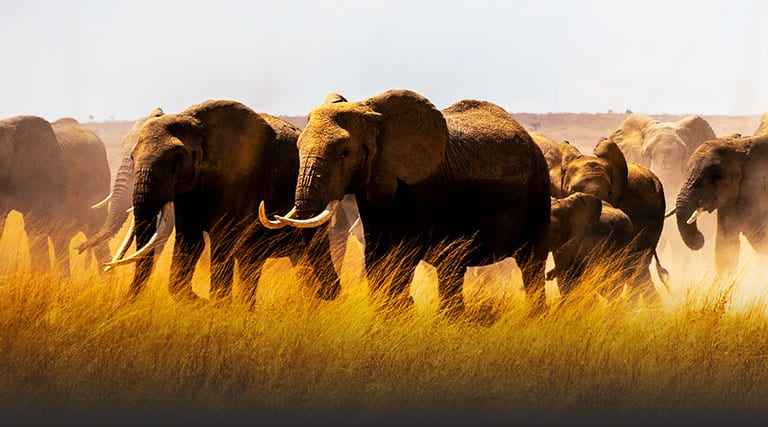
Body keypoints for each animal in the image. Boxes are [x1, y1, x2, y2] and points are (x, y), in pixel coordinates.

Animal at [105, 100, 326, 302]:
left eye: (177, 159)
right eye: (132, 158)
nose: (126, 299)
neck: (193, 121)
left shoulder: (237, 179)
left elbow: (222, 241)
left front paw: (214, 304)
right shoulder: (189, 192)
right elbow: (190, 241)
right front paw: (204, 302)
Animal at [260, 89, 551, 316]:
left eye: (344, 153)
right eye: (298, 147)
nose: (332, 293)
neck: (373, 113)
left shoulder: (420, 188)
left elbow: (403, 253)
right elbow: (375, 253)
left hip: (539, 190)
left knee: (532, 264)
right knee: (453, 268)